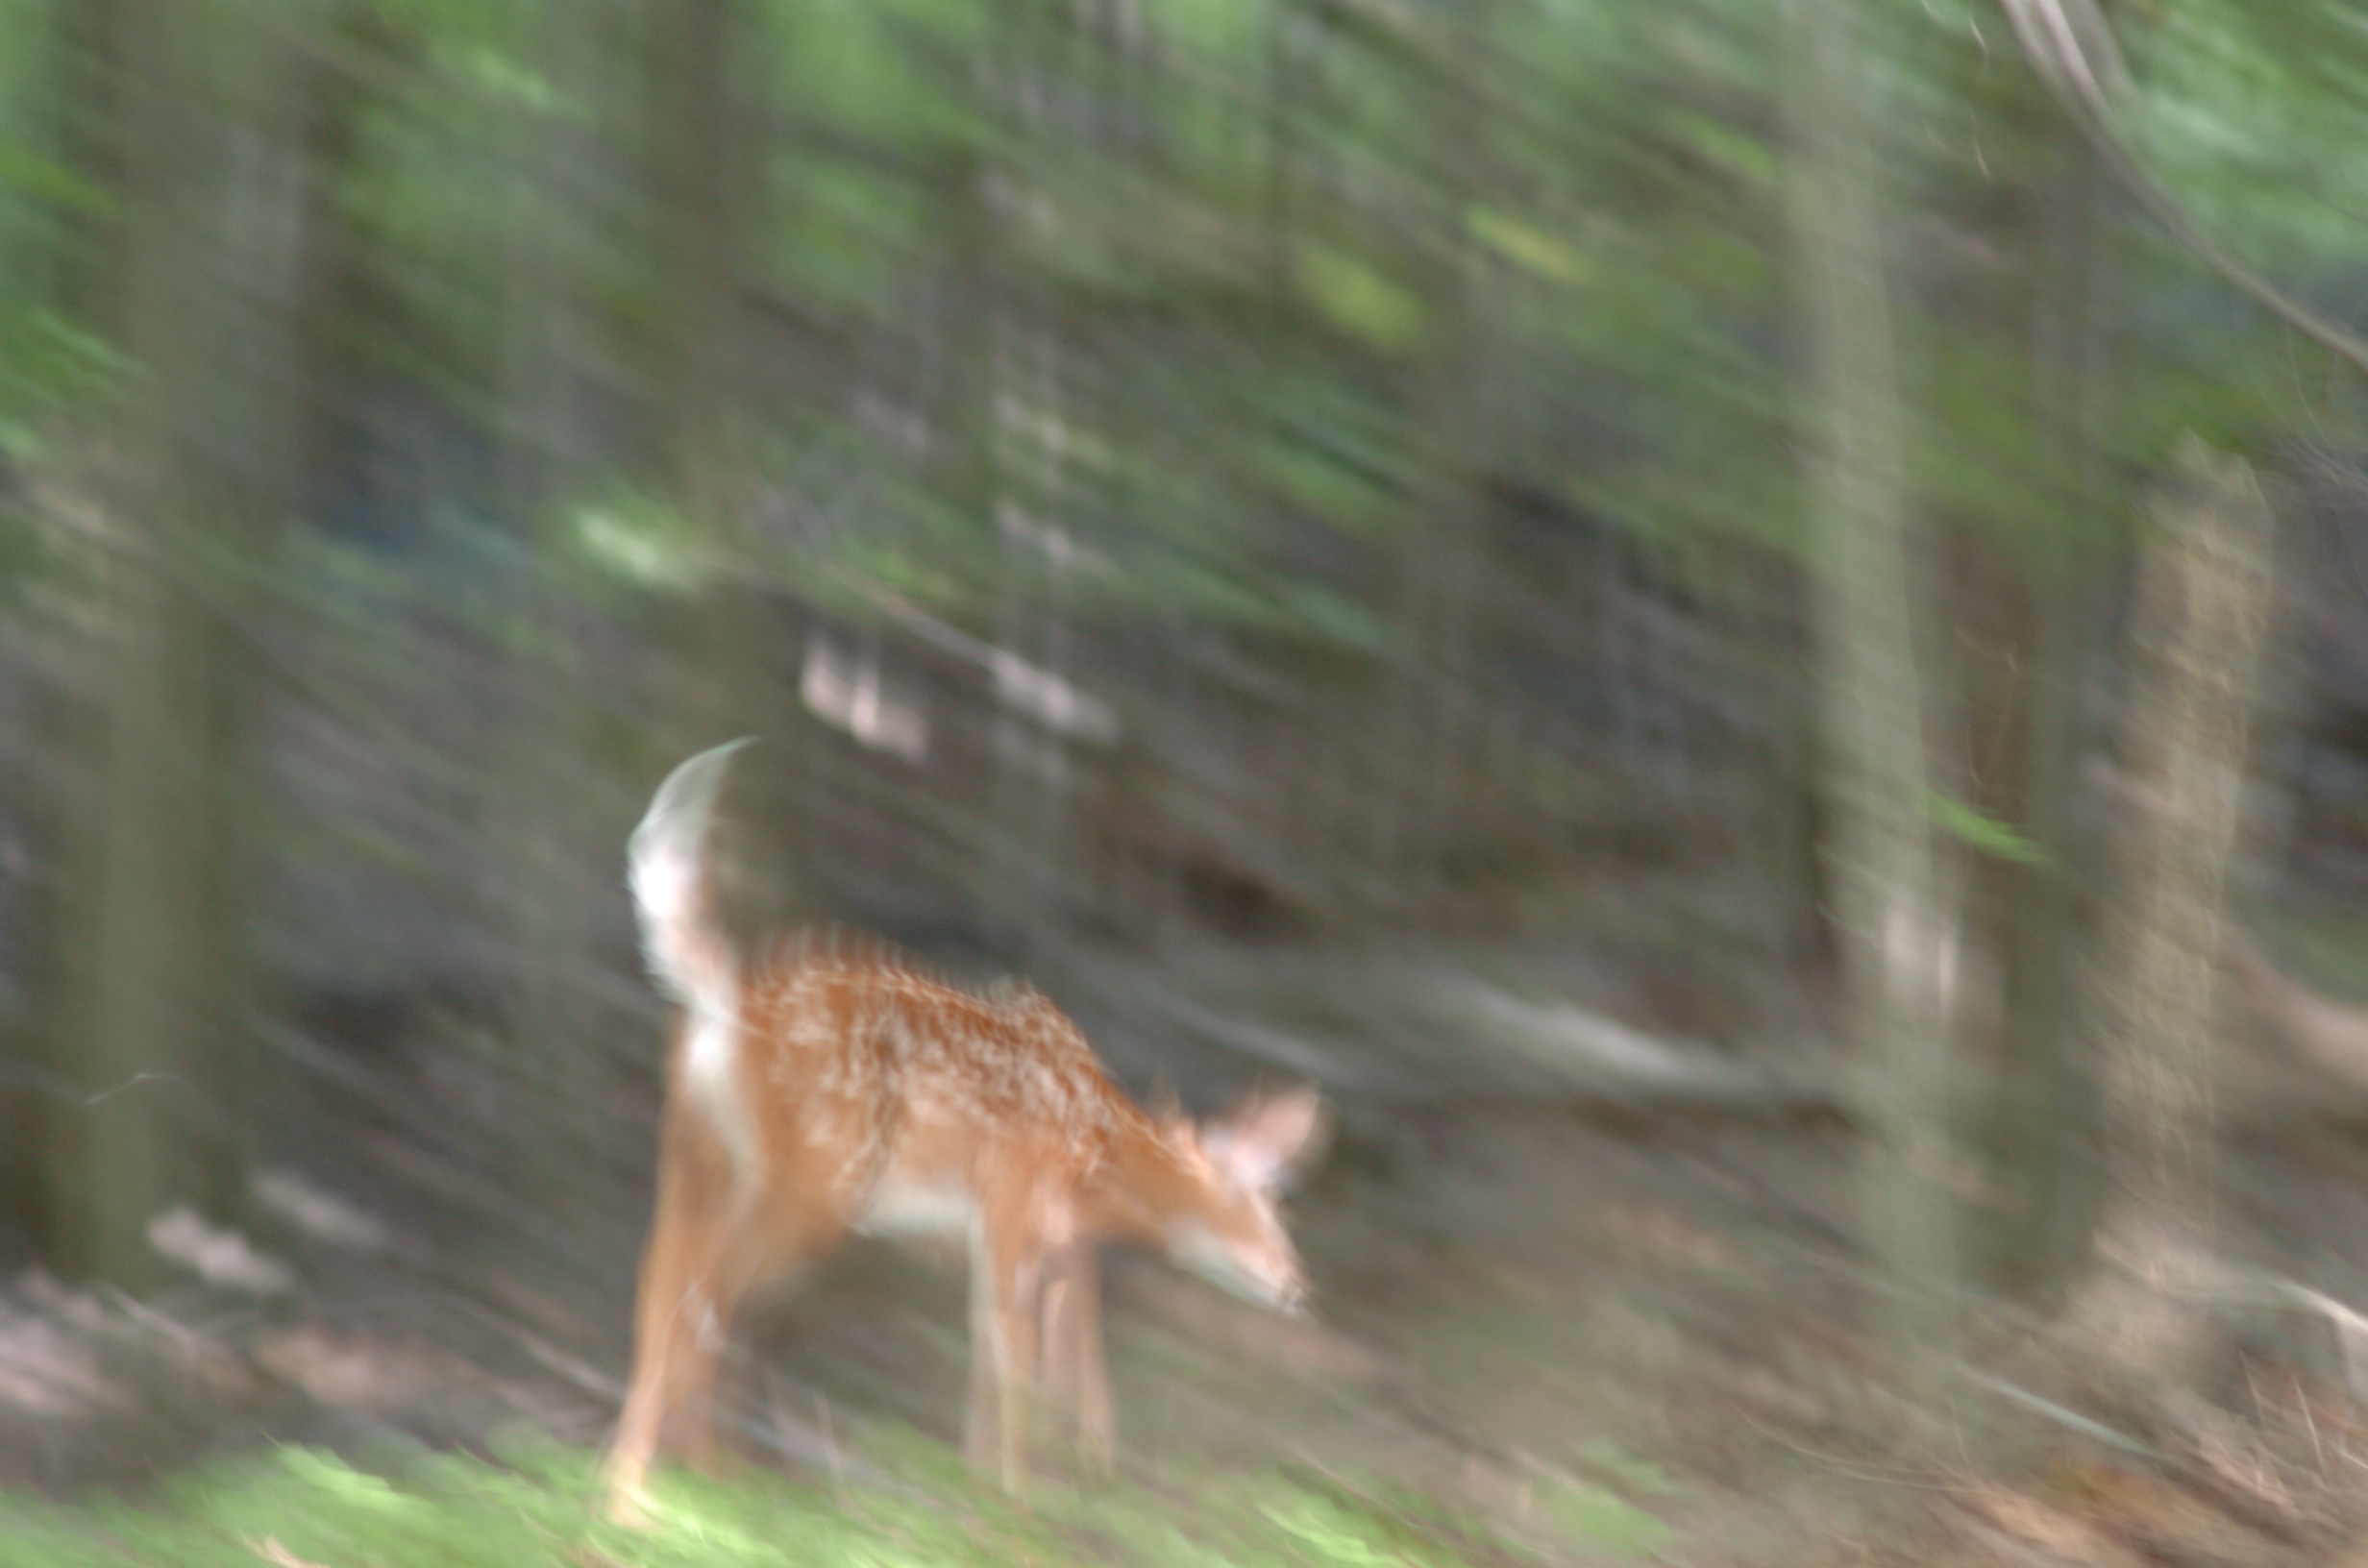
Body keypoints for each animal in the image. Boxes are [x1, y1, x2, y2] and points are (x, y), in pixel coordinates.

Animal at [602, 740, 1325, 1520]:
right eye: (1270, 1207)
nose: (1298, 1286)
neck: (1105, 1146)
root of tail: (725, 1004)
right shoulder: (1012, 1198)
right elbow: (1017, 1357)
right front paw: (1019, 1497)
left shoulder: (1034, 1233)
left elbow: (1030, 1352)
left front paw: (1011, 1480)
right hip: (813, 1184)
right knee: (697, 1305)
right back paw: (664, 1498)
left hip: (693, 1154)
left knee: (657, 1293)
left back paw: (659, 1491)